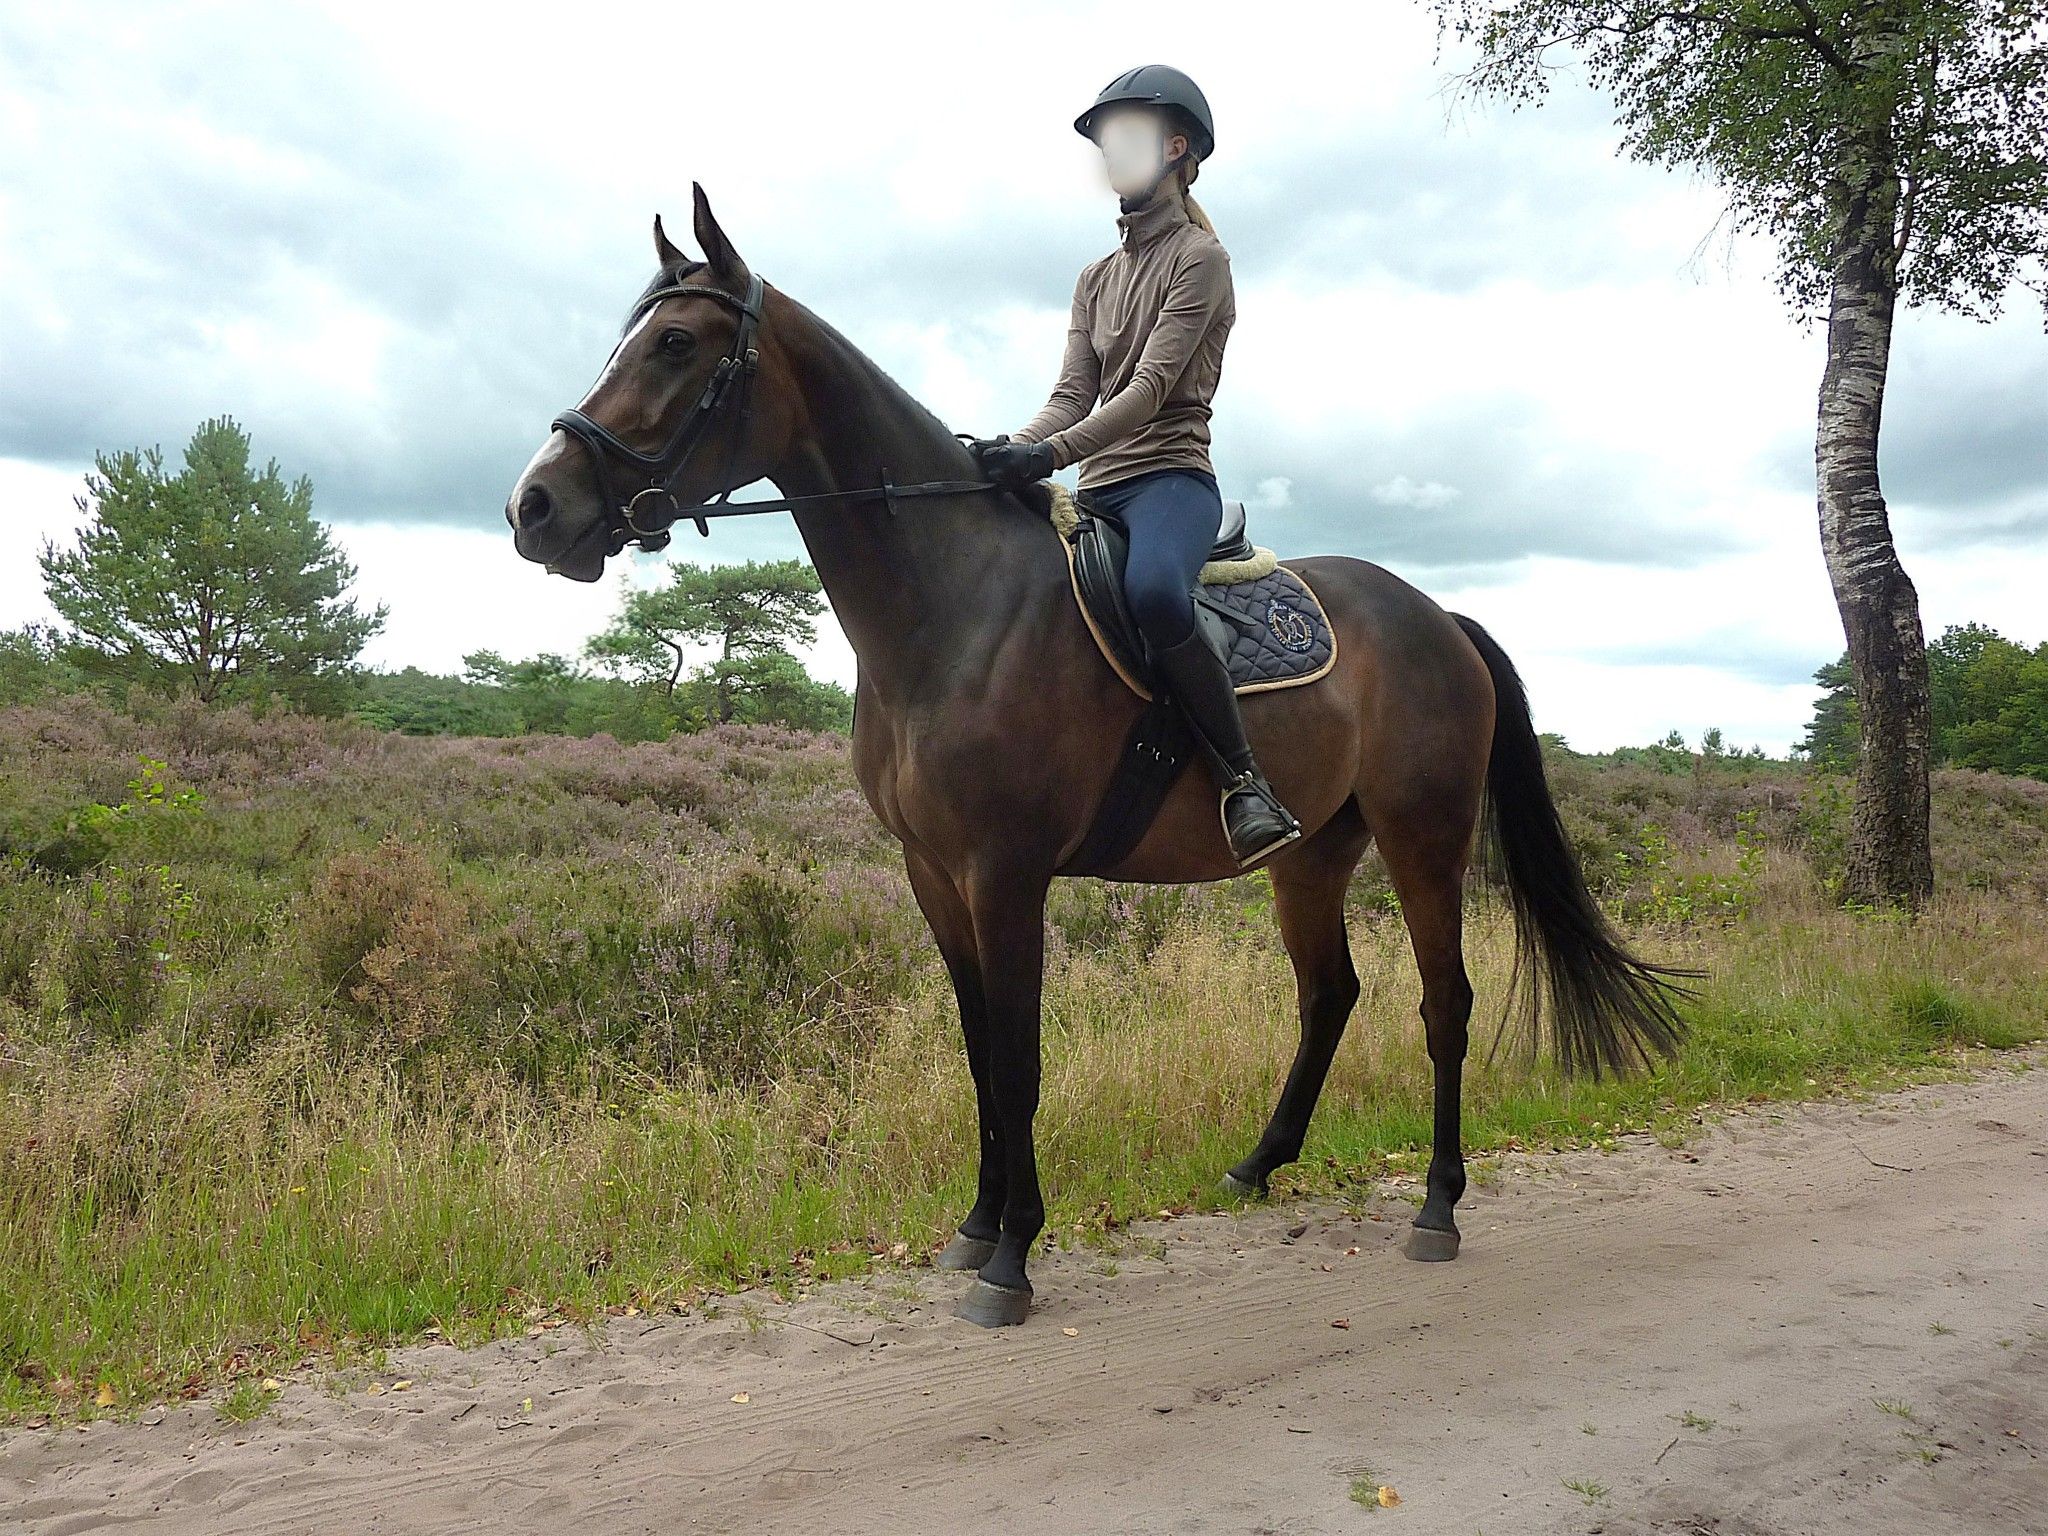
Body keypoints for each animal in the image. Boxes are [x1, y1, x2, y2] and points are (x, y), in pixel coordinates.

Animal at [505, 185, 1690, 1327]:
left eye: (675, 344)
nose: (535, 505)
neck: (953, 609)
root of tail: (1438, 617)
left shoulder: (1006, 874)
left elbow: (1018, 1059)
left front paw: (1012, 1259)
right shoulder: (935, 875)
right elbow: (980, 1051)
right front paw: (976, 1227)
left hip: (1423, 839)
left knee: (1444, 1004)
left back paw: (1437, 1206)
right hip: (1314, 854)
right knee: (1329, 996)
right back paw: (1257, 1165)